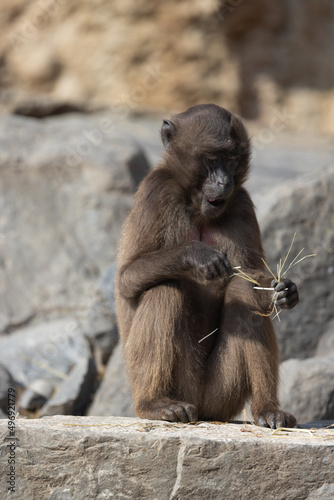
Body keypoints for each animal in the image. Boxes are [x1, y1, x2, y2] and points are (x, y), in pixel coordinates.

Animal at [115, 103, 298, 428]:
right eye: (212, 159)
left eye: (232, 160)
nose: (224, 182)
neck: (194, 205)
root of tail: (202, 409)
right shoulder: (155, 193)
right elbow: (126, 277)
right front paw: (198, 256)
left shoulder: (241, 203)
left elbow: (251, 275)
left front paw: (284, 290)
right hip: (183, 383)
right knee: (165, 289)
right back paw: (156, 404)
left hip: (221, 396)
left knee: (242, 293)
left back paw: (268, 409)